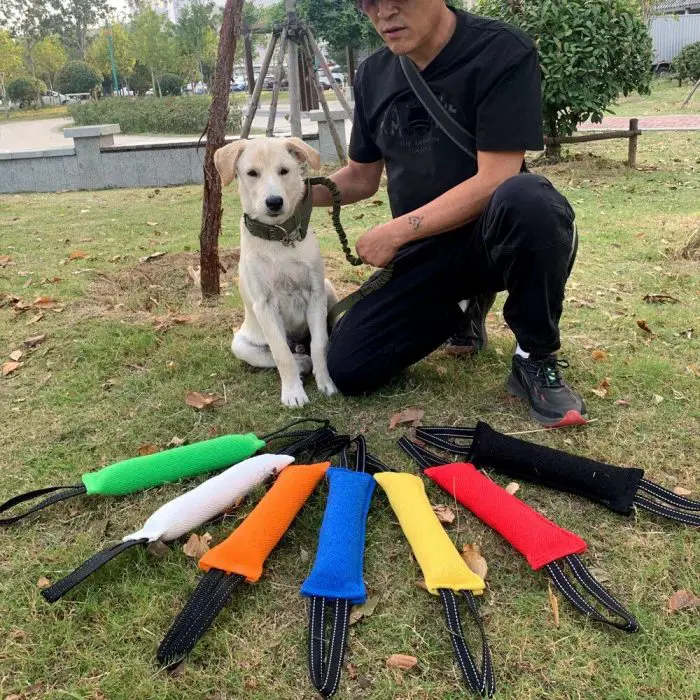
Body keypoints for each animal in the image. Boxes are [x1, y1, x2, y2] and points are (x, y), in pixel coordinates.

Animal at [216, 137, 340, 408]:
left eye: (284, 171)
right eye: (252, 173)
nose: (274, 202)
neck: (278, 238)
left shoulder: (316, 295)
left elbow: (319, 344)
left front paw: (326, 382)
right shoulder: (265, 305)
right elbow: (281, 353)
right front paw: (293, 392)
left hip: (328, 288)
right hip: (241, 343)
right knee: (283, 354)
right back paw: (301, 362)